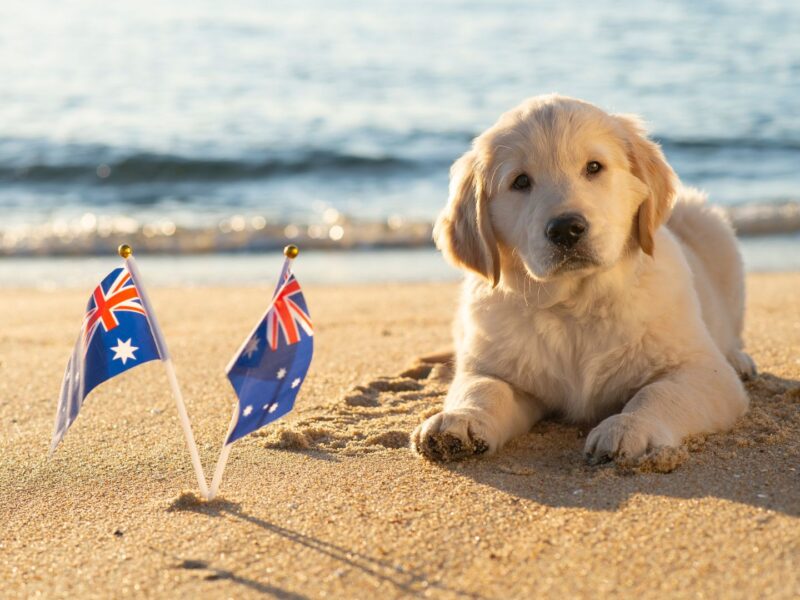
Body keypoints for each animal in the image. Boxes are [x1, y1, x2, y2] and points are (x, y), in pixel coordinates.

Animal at [412, 94, 756, 464]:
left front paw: (628, 427)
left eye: (593, 167)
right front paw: (458, 421)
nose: (565, 229)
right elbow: (484, 388)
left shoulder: (702, 371)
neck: (575, 304)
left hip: (716, 235)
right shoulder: (492, 367)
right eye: (520, 181)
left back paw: (739, 359)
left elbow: (659, 394)